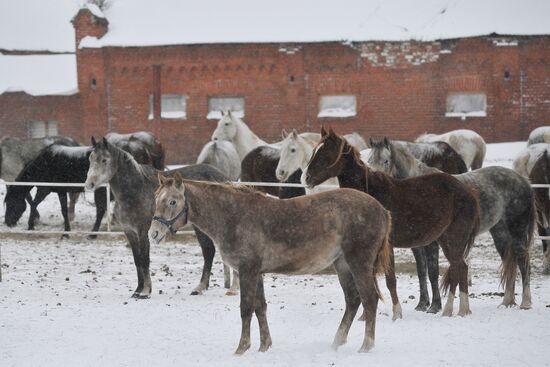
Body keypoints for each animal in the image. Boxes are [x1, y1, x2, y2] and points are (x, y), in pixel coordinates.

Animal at [85, 138, 236, 300]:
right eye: (90, 158)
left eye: (104, 160)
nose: (89, 184)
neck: (135, 190)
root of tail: (224, 179)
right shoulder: (129, 232)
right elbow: (137, 260)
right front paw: (137, 290)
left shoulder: (143, 231)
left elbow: (145, 259)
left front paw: (145, 291)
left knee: (209, 251)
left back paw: (203, 287)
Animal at [149, 176, 394, 356]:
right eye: (156, 199)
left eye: (172, 202)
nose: (154, 234)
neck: (233, 216)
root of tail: (382, 209)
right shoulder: (256, 272)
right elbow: (260, 308)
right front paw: (264, 346)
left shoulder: (247, 271)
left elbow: (246, 309)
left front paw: (242, 348)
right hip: (342, 264)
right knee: (353, 300)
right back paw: (336, 343)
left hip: (358, 263)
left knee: (369, 300)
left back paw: (366, 346)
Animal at [304, 128, 480, 318]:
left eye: (325, 153)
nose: (306, 178)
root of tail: (468, 192)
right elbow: (372, 280)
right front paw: (365, 316)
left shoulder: (387, 246)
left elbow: (390, 280)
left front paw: (397, 314)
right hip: (446, 239)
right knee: (460, 268)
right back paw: (460, 310)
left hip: (454, 238)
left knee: (458, 268)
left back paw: (453, 310)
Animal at [368, 138, 536, 310]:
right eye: (369, 160)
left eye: (386, 161)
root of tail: (523, 181)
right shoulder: (417, 246)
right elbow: (421, 272)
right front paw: (422, 304)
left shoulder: (432, 243)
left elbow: (433, 272)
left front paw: (435, 306)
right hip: (500, 233)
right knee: (510, 262)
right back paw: (506, 302)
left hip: (518, 230)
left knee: (523, 262)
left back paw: (525, 302)